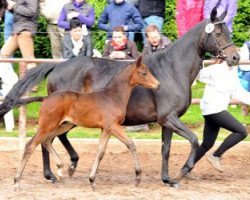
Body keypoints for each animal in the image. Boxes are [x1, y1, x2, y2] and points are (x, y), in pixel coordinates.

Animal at [13, 56, 159, 191]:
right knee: (31, 145)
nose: (158, 85)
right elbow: (131, 144)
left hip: (64, 124)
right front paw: (138, 177)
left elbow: (100, 152)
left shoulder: (105, 129)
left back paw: (60, 169)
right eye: (144, 72)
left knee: (46, 140)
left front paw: (92, 180)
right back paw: (17, 181)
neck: (113, 96)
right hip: (47, 125)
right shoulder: (113, 126)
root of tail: (46, 98)